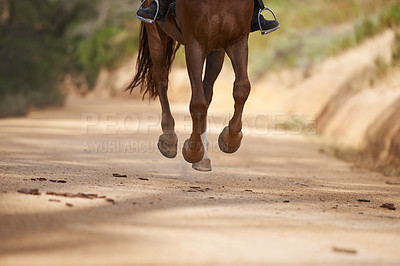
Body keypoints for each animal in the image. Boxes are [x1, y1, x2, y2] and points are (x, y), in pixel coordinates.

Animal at [128, 0, 253, 170]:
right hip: (155, 32)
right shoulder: (195, 44)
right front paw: (193, 150)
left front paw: (230, 139)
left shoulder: (237, 40)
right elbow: (198, 103)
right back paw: (169, 138)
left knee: (207, 89)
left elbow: (242, 88)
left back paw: (204, 156)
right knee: (161, 79)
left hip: (216, 50)